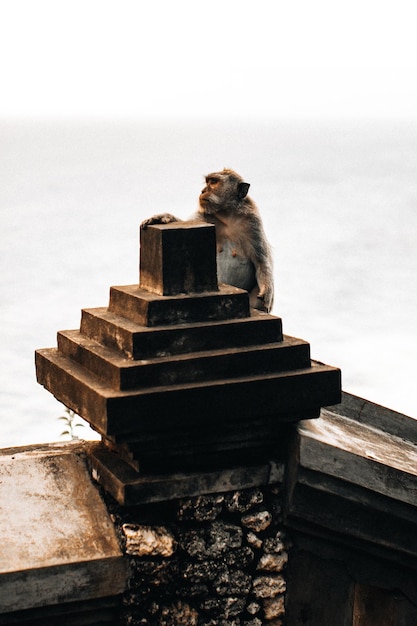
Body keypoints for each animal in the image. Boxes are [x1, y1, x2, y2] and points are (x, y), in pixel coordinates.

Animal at [141, 168, 274, 312]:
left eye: (214, 182)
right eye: (207, 181)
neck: (227, 216)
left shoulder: (252, 223)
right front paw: (162, 217)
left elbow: (261, 261)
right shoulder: (204, 217)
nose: (203, 191)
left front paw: (266, 291)